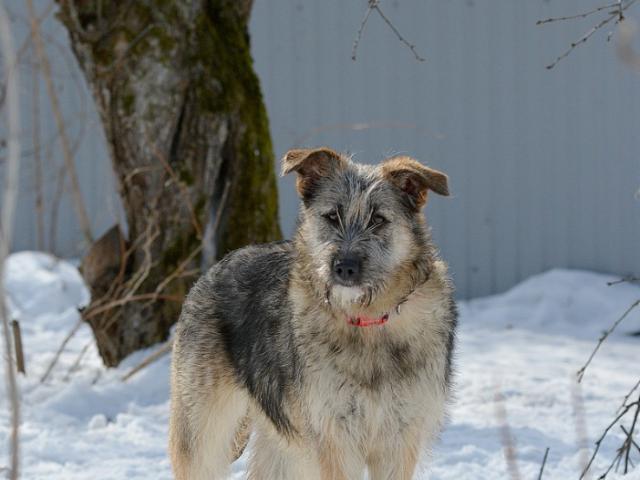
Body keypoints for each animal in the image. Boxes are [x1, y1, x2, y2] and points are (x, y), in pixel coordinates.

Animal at [168, 148, 458, 478]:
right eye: (332, 216)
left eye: (378, 219)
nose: (344, 267)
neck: (368, 322)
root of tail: (218, 265)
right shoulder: (334, 439)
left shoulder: (399, 439)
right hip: (204, 437)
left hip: (283, 450)